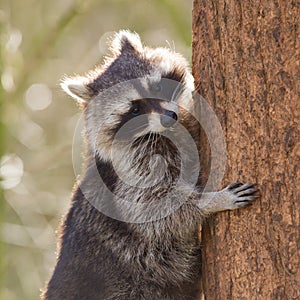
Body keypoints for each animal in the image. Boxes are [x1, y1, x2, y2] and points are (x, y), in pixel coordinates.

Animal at [41, 31, 258, 300]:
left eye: (156, 87)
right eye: (134, 109)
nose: (169, 118)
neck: (163, 133)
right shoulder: (131, 171)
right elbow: (153, 212)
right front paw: (210, 202)